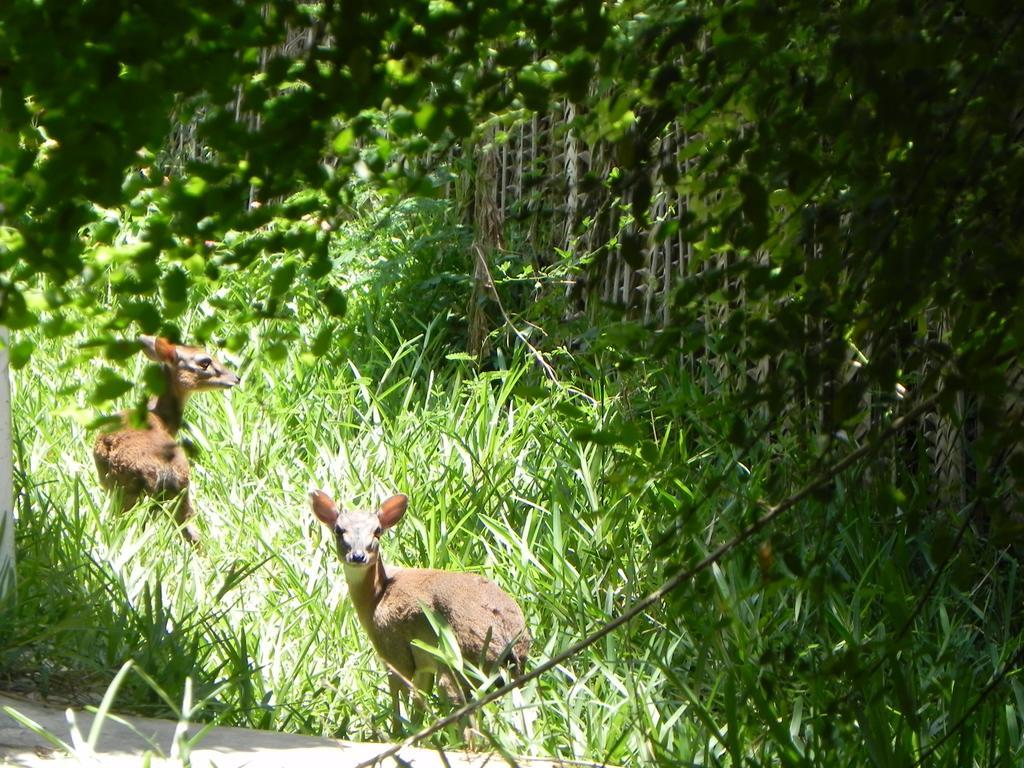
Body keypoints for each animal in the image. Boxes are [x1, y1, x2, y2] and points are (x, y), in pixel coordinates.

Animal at [94, 337, 239, 548]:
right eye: (204, 361)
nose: (236, 378)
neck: (160, 419)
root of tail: (165, 472)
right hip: (173, 494)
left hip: (127, 494)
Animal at [309, 493, 532, 733]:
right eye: (338, 529)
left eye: (377, 530)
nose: (357, 556)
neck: (377, 596)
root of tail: (508, 638)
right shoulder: (423, 661)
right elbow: (419, 703)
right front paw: (416, 731)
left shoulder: (393, 648)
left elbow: (398, 697)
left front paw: (397, 734)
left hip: (458, 661)